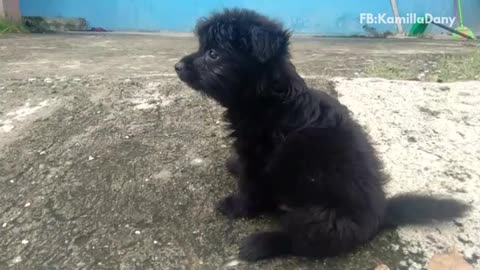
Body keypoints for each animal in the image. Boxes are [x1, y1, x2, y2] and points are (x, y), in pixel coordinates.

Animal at [175, 8, 468, 262]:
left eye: (213, 54)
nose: (177, 66)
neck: (271, 97)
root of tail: (380, 215)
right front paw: (233, 167)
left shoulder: (260, 159)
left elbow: (250, 187)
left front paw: (235, 206)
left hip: (320, 218)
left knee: (302, 242)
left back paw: (261, 244)